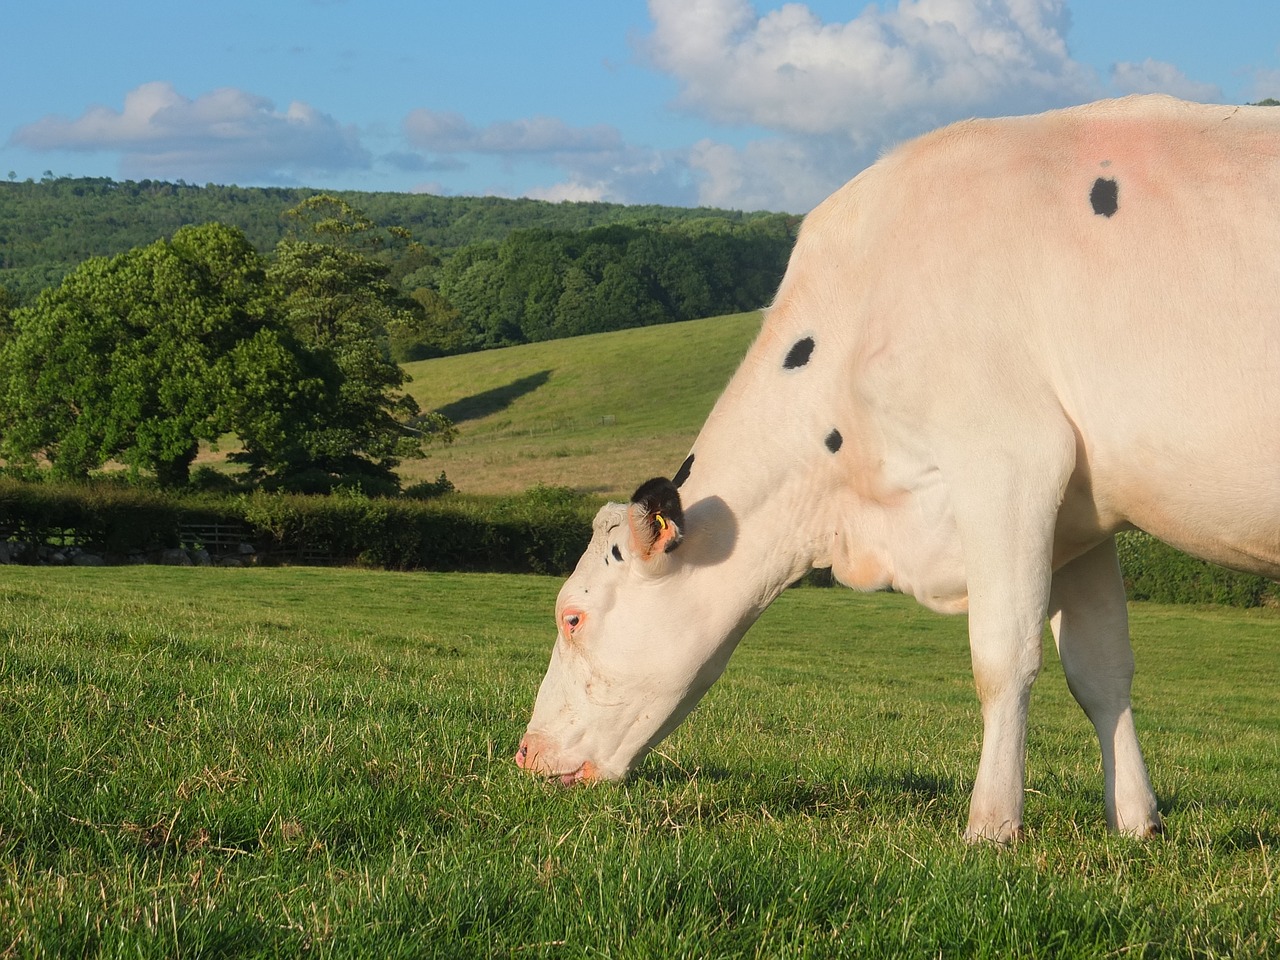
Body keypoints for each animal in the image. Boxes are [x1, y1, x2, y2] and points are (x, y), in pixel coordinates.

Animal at [512, 96, 1280, 839]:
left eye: (572, 617)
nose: (524, 754)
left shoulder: (1008, 459)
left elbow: (1002, 657)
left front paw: (991, 826)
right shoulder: (1081, 511)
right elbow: (1101, 671)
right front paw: (1136, 822)